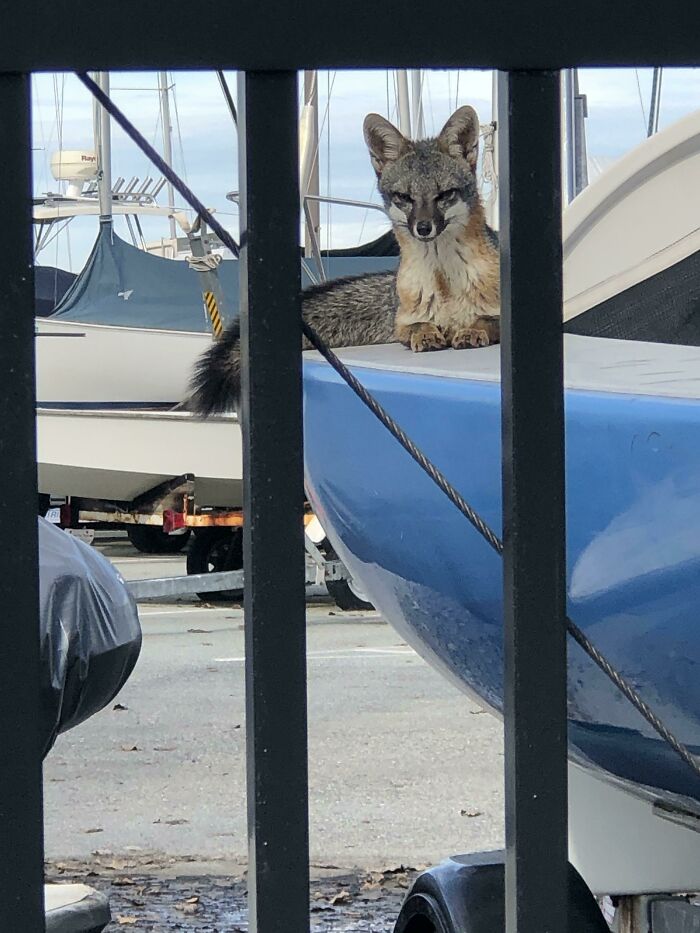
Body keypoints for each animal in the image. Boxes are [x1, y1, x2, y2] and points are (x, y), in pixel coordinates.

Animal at [188, 105, 500, 416]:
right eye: (404, 197)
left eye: (445, 194)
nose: (423, 228)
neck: (443, 280)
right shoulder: (401, 322)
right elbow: (416, 326)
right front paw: (425, 334)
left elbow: (485, 319)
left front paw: (471, 330)